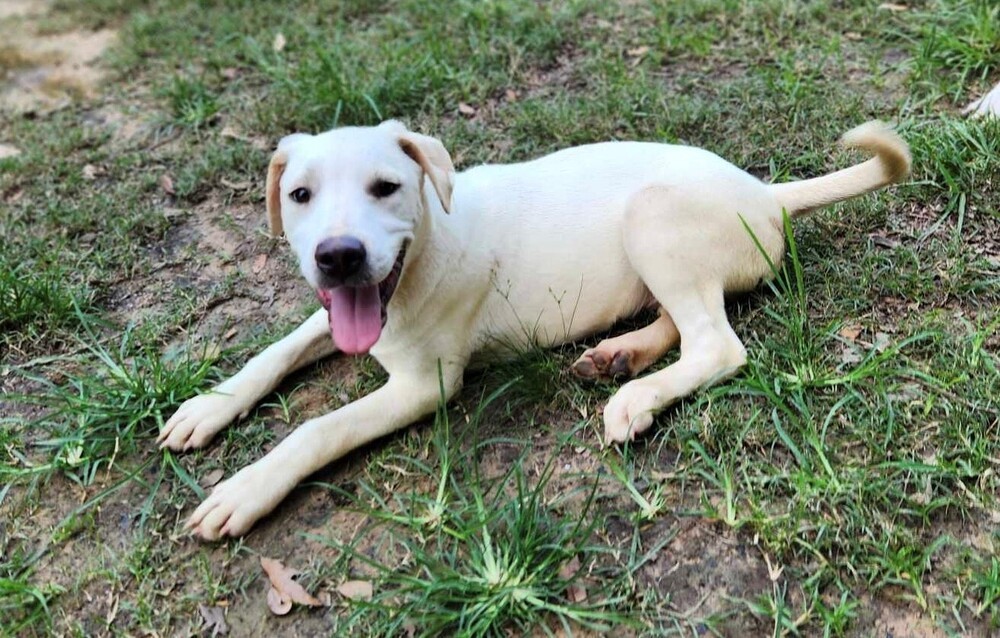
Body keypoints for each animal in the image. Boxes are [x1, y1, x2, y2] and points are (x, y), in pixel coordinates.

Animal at [154, 119, 908, 540]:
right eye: (299, 196)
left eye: (386, 187)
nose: (337, 256)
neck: (426, 249)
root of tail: (765, 193)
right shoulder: (339, 312)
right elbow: (277, 349)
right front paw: (208, 406)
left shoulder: (423, 385)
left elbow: (318, 428)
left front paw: (244, 490)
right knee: (683, 321)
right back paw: (621, 355)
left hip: (653, 216)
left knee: (718, 343)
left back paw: (636, 396)